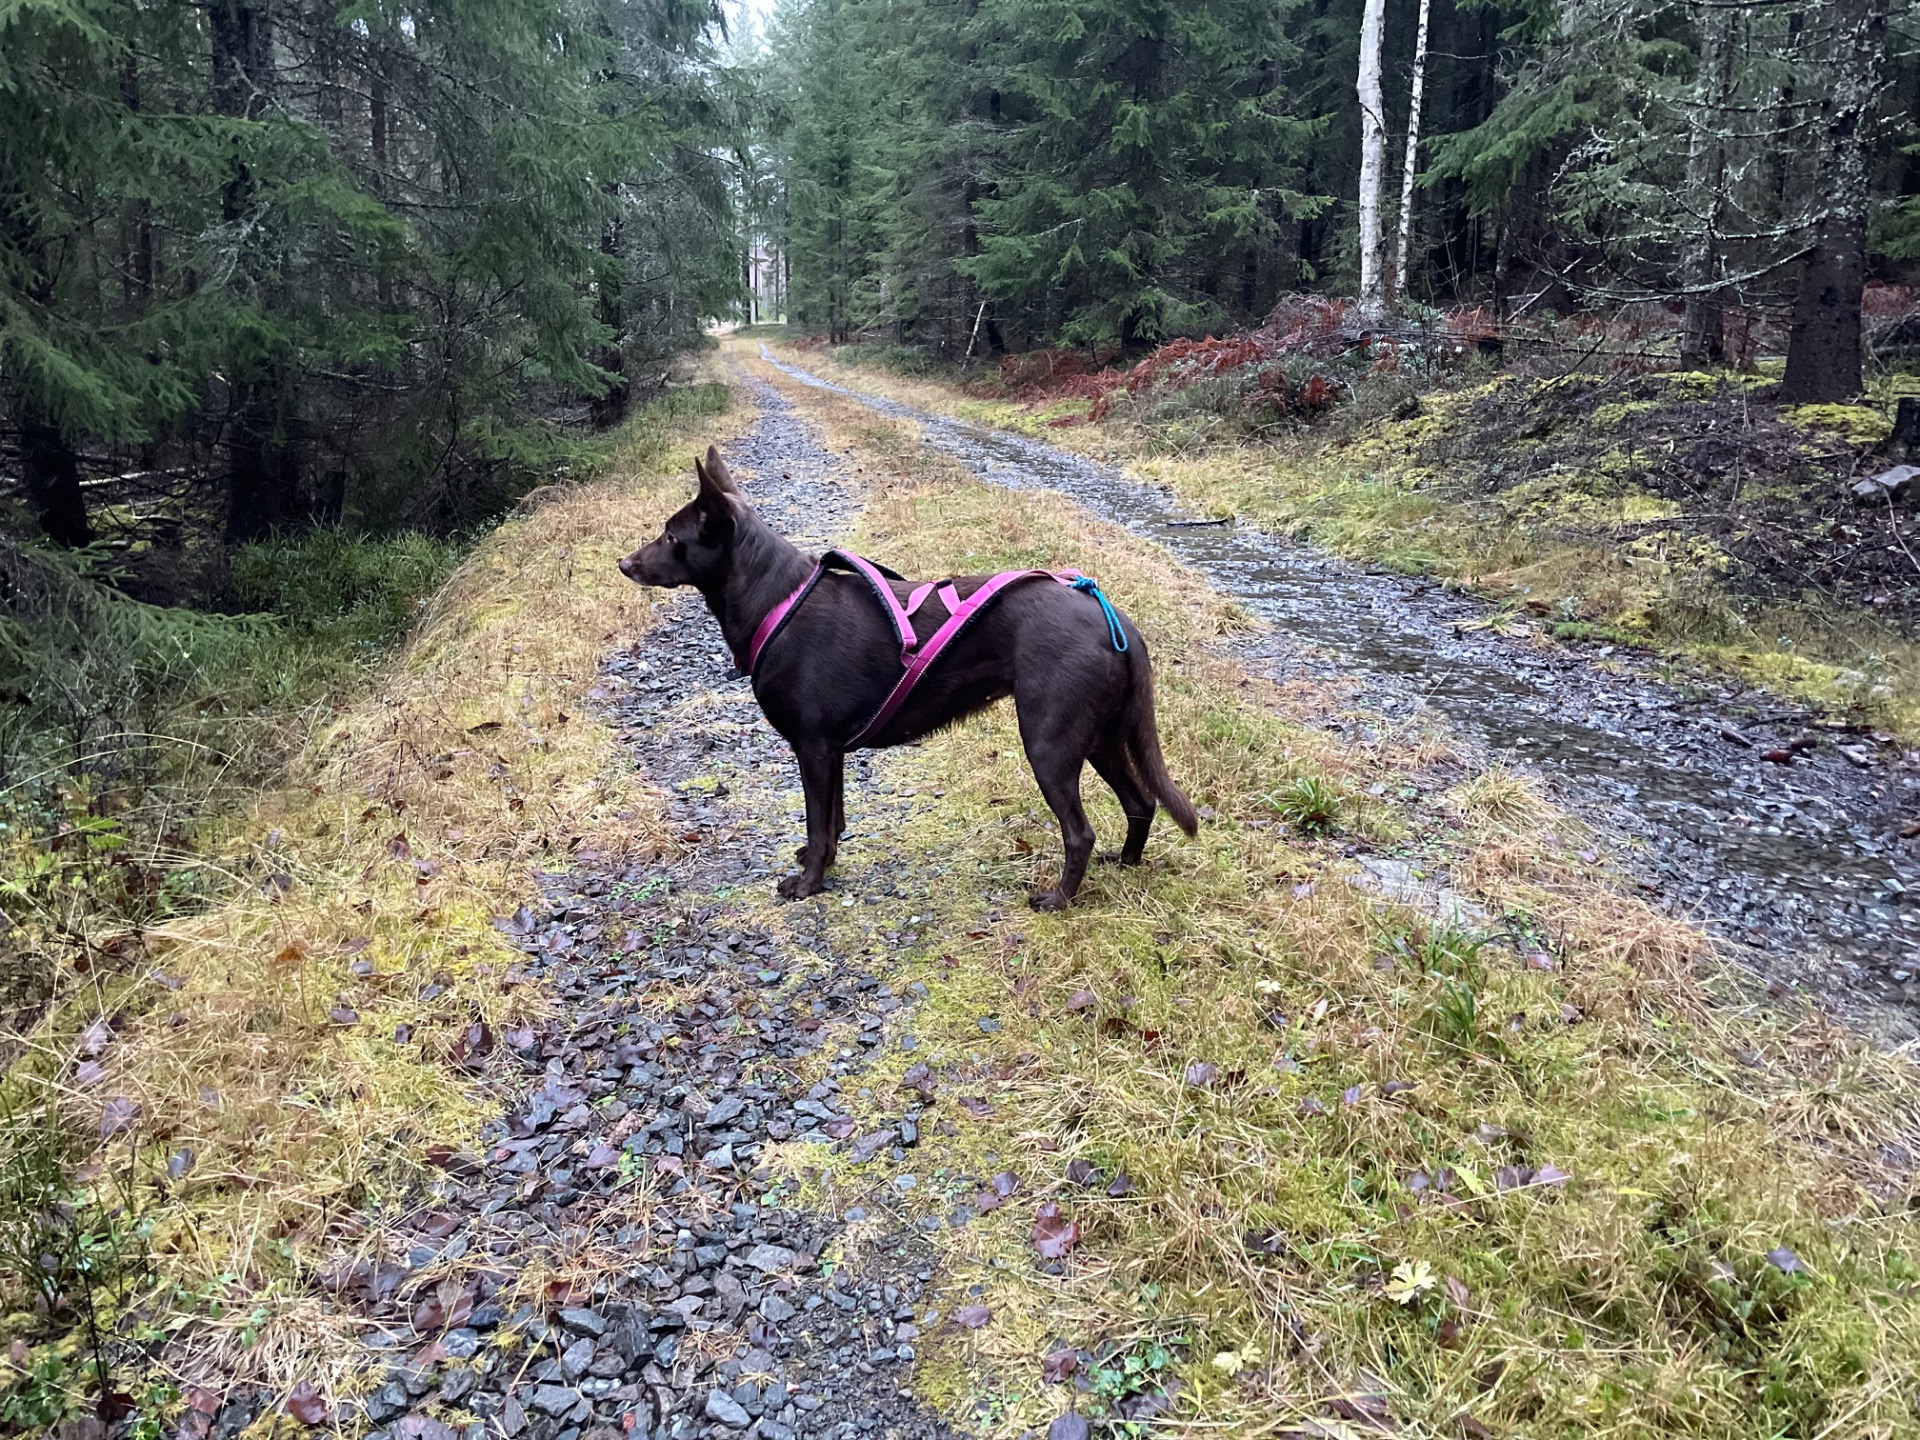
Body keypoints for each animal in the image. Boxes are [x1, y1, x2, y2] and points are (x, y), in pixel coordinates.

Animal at [618, 446, 1197, 909]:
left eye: (670, 535)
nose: (624, 563)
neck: (775, 600)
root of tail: (1109, 614)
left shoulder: (813, 748)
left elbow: (818, 820)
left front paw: (808, 885)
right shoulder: (832, 751)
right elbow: (833, 821)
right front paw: (822, 863)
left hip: (1049, 743)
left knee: (1080, 833)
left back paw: (1059, 898)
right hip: (1100, 735)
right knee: (1141, 802)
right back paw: (1126, 865)